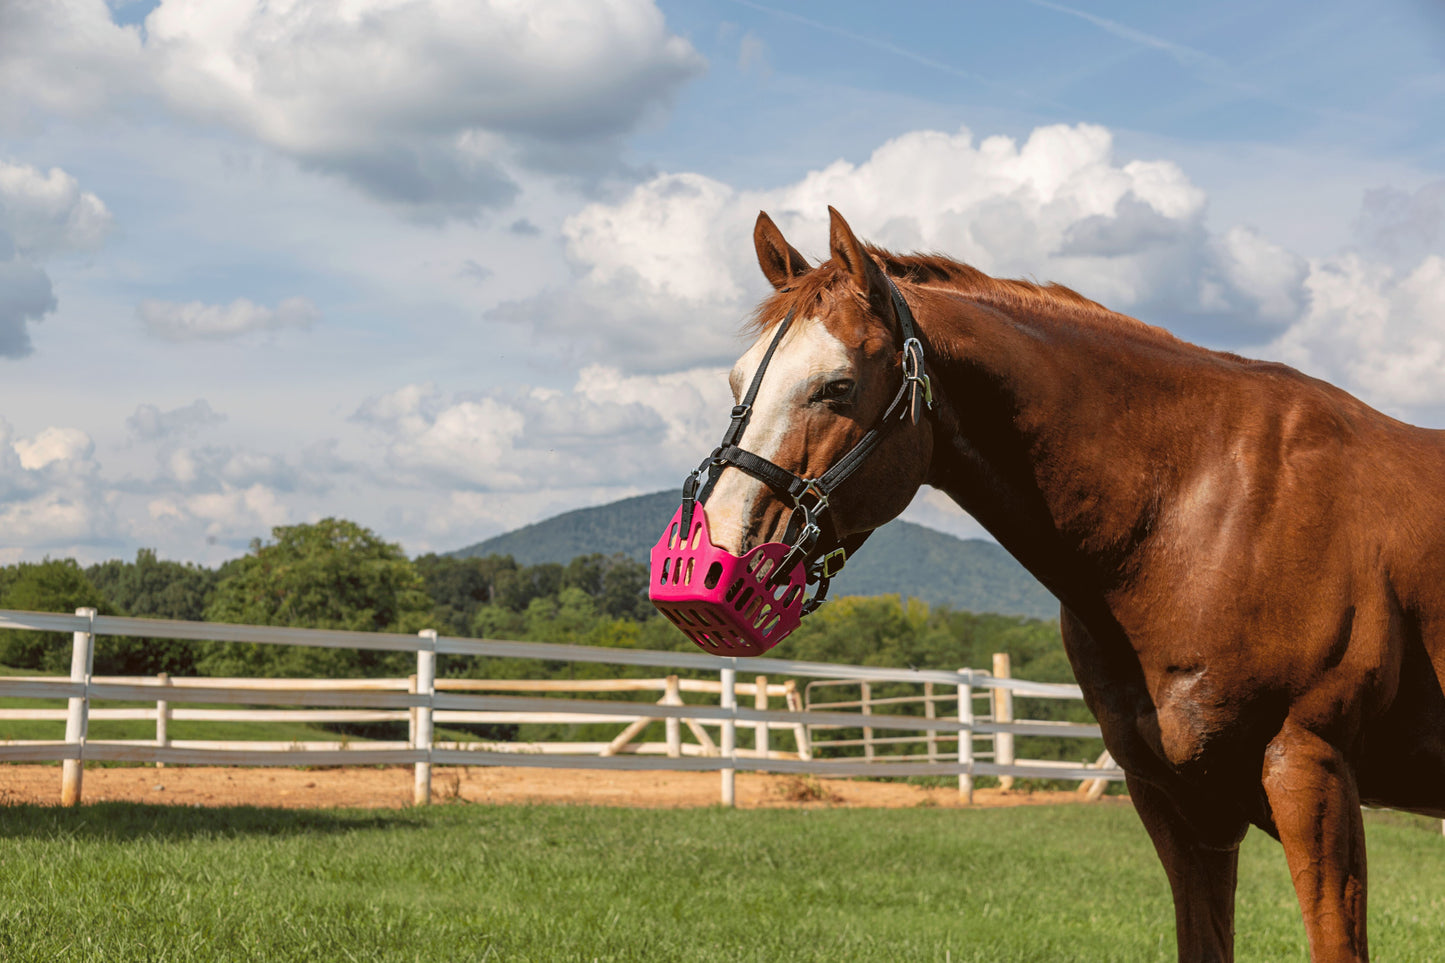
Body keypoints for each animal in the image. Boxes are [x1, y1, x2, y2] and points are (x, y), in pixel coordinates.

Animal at [705, 206, 1445, 954]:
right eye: (738, 385)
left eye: (837, 387)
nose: (719, 544)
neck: (1204, 509)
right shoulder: (1177, 801)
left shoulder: (1309, 770)